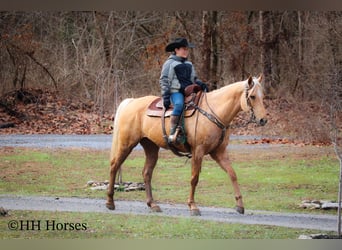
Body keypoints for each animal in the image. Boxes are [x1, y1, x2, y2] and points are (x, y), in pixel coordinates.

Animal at [107, 74, 268, 215]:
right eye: (252, 96)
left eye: (263, 96)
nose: (263, 120)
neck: (214, 112)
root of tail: (131, 102)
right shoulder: (198, 152)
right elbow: (194, 178)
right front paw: (193, 206)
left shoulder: (219, 152)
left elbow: (232, 174)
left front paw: (240, 205)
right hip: (126, 144)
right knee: (114, 165)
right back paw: (110, 202)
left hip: (151, 146)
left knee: (146, 173)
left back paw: (153, 204)